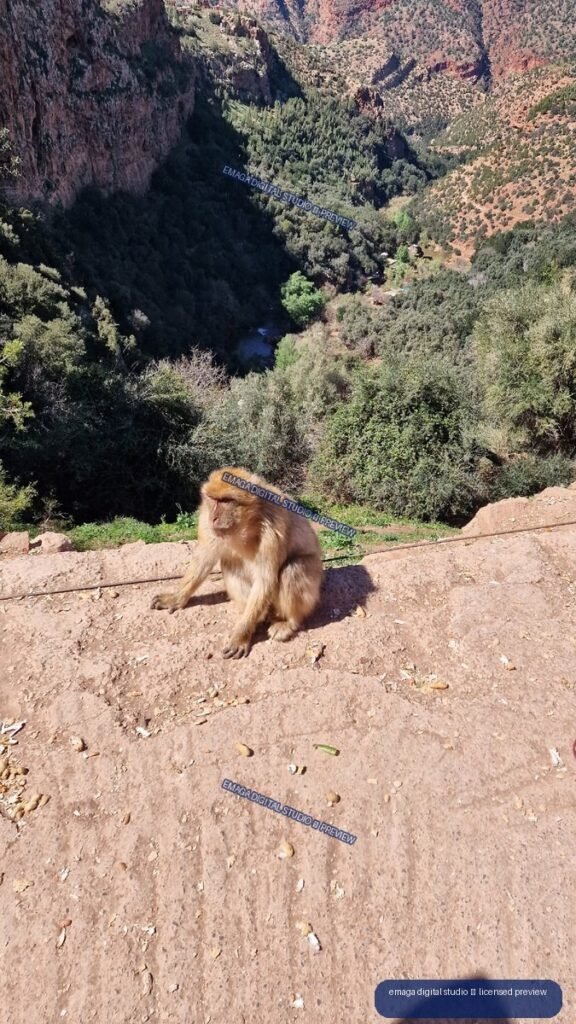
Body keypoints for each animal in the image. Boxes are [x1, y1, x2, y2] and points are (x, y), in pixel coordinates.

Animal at [150, 467, 323, 659]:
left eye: (226, 501)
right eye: (213, 499)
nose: (214, 517)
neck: (246, 524)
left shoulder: (273, 529)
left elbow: (265, 580)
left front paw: (241, 636)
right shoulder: (206, 519)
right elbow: (203, 559)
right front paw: (175, 598)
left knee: (293, 568)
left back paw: (289, 622)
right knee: (230, 563)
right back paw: (257, 616)